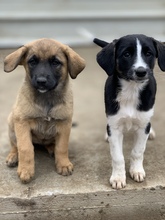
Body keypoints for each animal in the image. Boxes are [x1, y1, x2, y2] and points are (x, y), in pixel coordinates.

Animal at [3, 38, 85, 183]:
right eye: (32, 61)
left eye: (55, 62)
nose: (41, 81)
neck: (46, 99)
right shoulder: (22, 123)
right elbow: (25, 148)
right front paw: (26, 170)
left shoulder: (64, 124)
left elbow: (62, 147)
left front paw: (63, 164)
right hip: (11, 123)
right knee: (15, 145)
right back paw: (13, 156)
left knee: (52, 144)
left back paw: (51, 148)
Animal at [93, 34, 165, 189]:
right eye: (126, 54)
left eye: (148, 53)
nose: (141, 71)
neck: (131, 90)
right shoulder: (114, 126)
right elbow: (117, 156)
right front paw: (118, 178)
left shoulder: (143, 125)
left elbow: (138, 151)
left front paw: (136, 171)